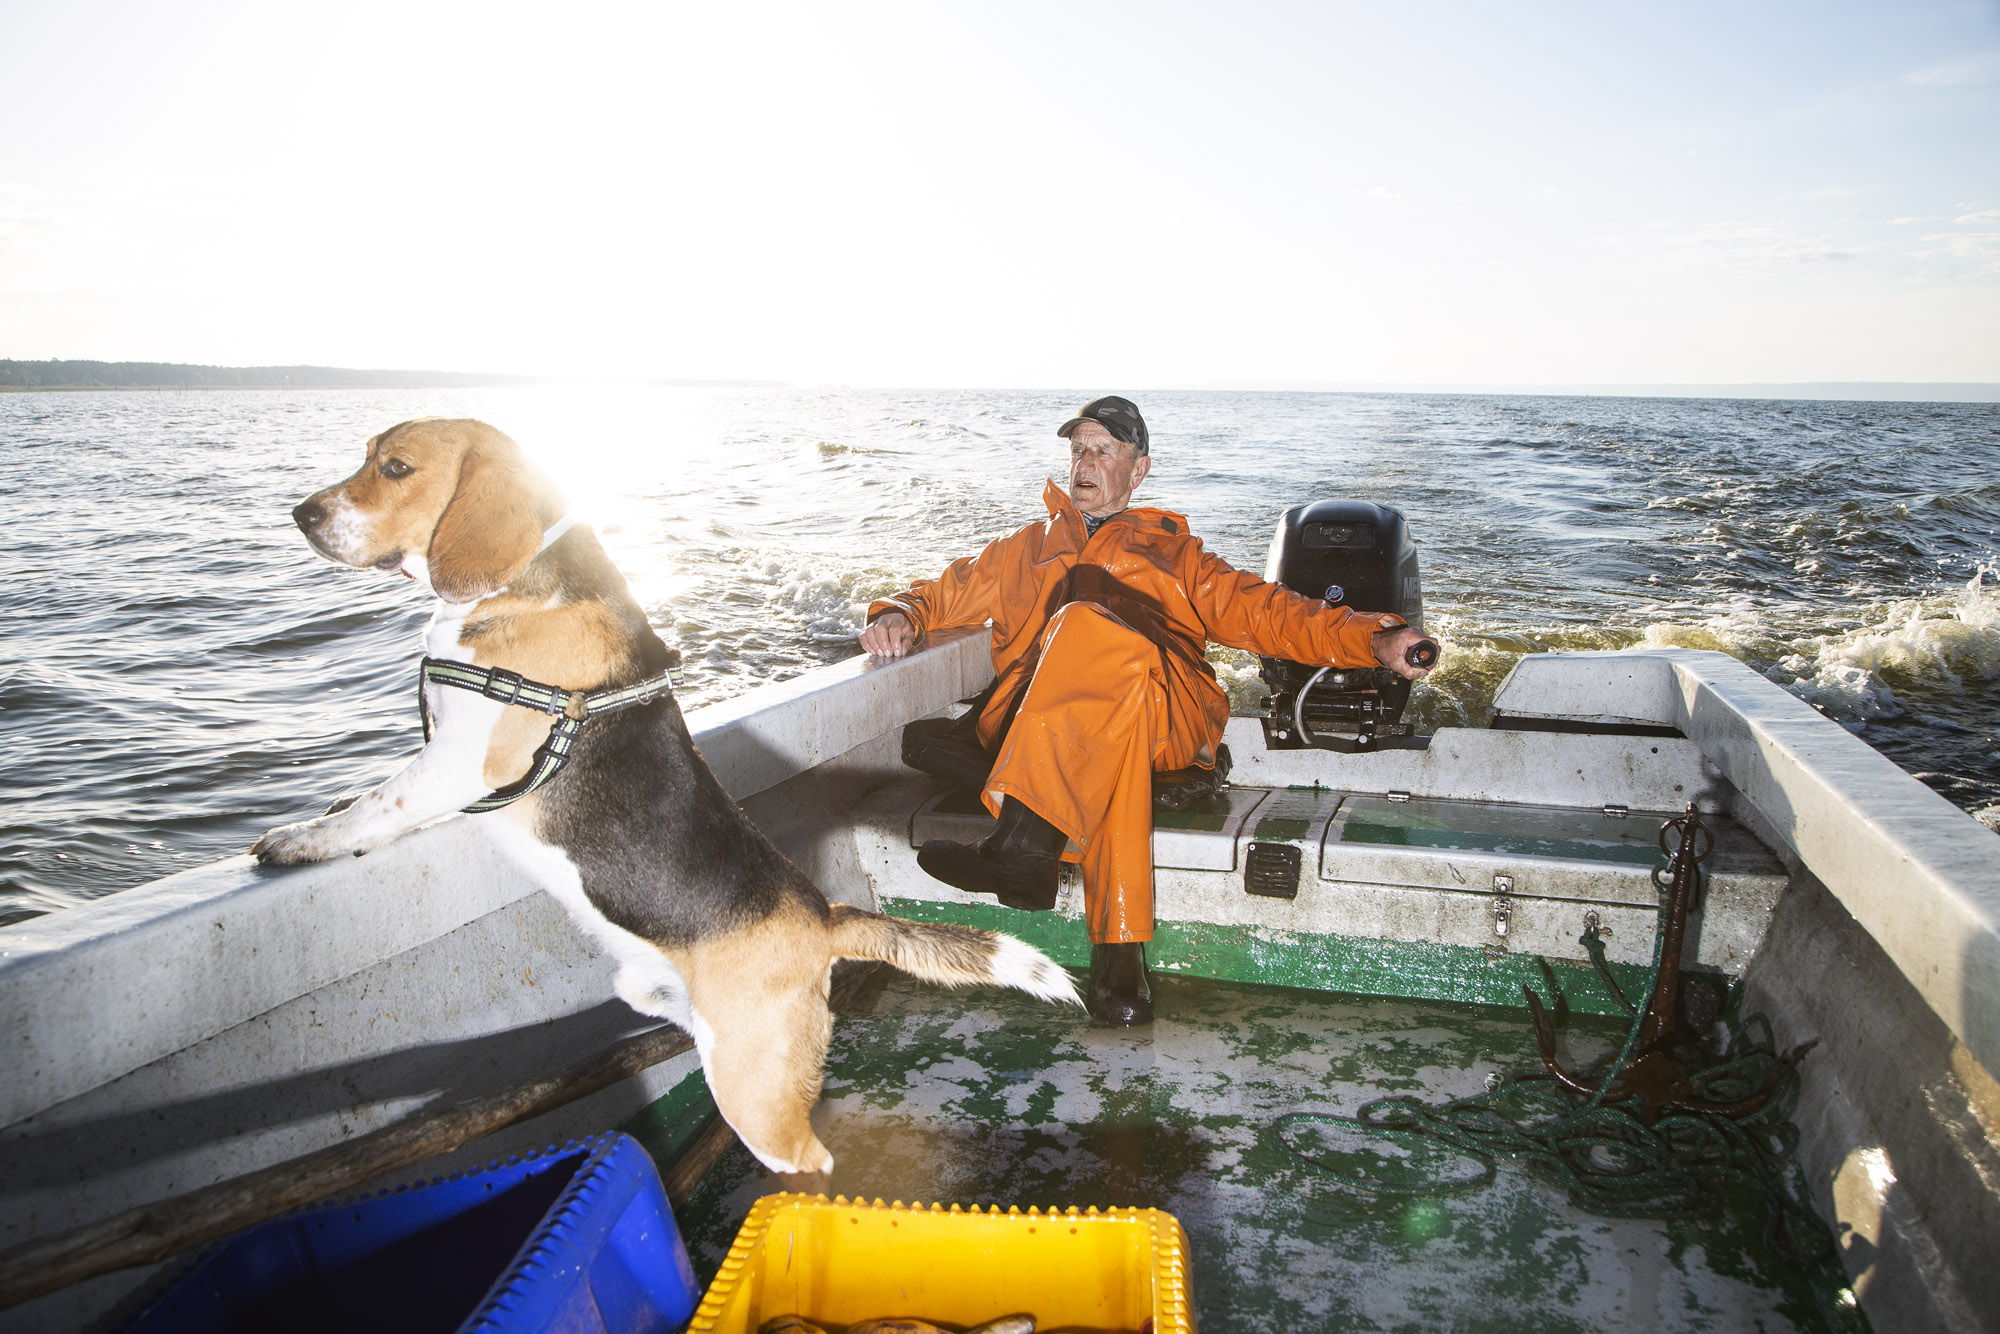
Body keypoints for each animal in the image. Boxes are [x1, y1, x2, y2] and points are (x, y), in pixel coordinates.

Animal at [260, 414, 1088, 1168]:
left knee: (811, 1161)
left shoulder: (461, 759)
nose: (301, 515)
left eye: (396, 467)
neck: (523, 580)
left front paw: (298, 841)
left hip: (752, 1091)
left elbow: (378, 805)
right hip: (658, 998)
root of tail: (824, 917)